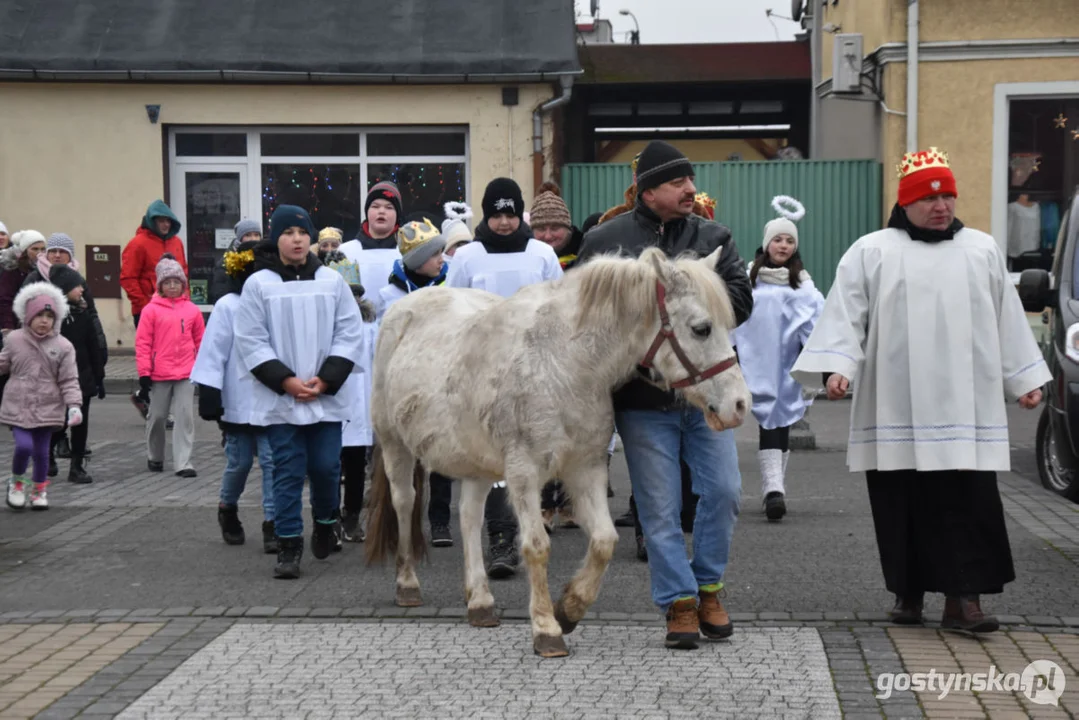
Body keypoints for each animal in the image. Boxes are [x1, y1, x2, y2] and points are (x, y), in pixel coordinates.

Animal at [366, 248, 746, 660]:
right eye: (701, 328)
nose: (740, 405)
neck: (565, 364)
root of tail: (404, 306)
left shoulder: (587, 469)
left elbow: (604, 541)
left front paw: (570, 608)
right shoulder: (524, 474)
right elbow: (536, 547)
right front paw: (546, 628)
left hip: (476, 465)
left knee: (468, 517)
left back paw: (481, 601)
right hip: (395, 446)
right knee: (405, 503)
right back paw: (407, 584)